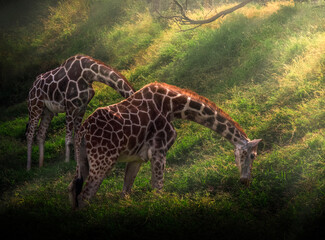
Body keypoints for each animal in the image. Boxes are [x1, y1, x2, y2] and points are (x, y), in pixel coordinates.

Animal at [68, 82, 260, 208]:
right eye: (253, 155)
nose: (245, 180)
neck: (175, 107)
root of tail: (82, 133)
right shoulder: (159, 149)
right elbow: (158, 189)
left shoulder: (137, 157)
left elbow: (126, 192)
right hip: (103, 161)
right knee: (85, 195)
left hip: (82, 161)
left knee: (73, 190)